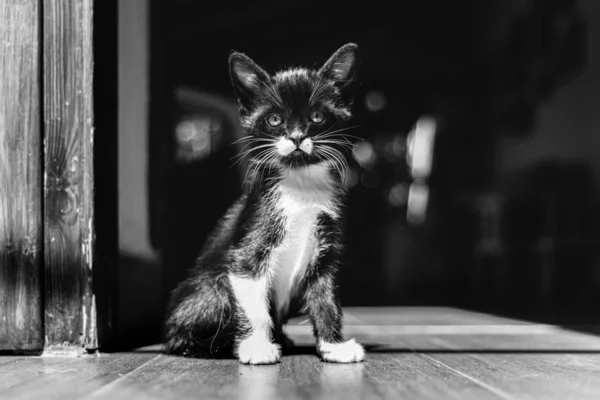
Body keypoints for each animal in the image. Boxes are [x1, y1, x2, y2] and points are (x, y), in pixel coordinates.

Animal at [163, 42, 366, 364]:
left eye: (317, 116)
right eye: (274, 120)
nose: (296, 137)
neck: (300, 185)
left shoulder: (326, 251)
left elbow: (326, 299)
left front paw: (334, 346)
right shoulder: (249, 248)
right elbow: (254, 302)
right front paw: (257, 347)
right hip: (211, 287)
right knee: (185, 329)